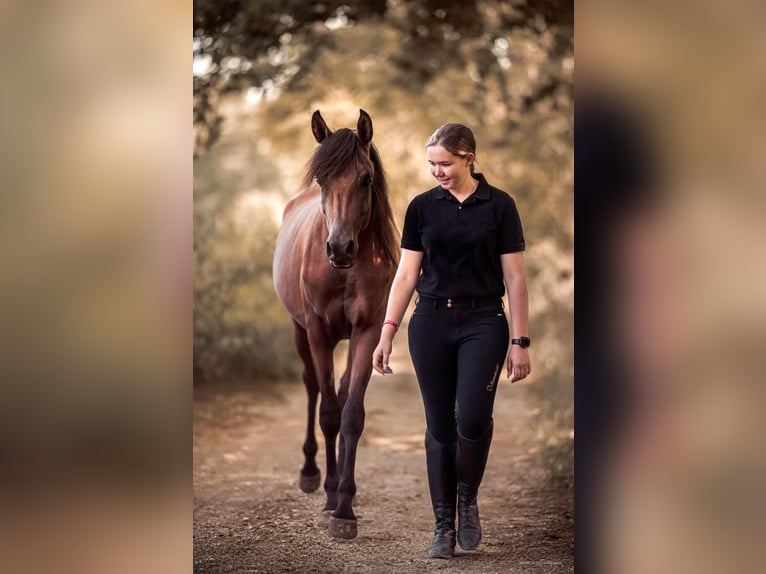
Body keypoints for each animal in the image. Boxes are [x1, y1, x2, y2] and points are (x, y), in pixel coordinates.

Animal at [272, 109, 400, 540]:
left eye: (366, 179)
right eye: (322, 180)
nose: (339, 249)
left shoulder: (368, 332)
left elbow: (351, 414)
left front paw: (345, 507)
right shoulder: (317, 331)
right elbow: (328, 413)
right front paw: (331, 495)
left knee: (342, 394)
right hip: (300, 332)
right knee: (314, 389)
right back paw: (312, 473)